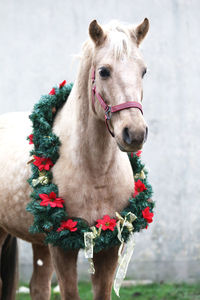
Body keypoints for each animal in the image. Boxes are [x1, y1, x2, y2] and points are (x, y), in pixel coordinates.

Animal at [0, 19, 148, 300]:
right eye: (103, 71)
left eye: (144, 71)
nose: (134, 133)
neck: (95, 171)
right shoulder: (63, 246)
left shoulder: (108, 245)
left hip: (39, 241)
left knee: (38, 287)